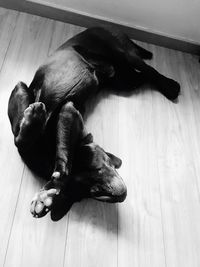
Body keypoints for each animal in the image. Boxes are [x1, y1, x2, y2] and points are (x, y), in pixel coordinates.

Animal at [7, 26, 180, 220]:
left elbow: (58, 153)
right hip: (124, 81)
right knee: (143, 75)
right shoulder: (33, 99)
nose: (121, 195)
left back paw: (170, 86)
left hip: (120, 53)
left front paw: (47, 194)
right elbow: (20, 139)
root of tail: (104, 26)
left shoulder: (68, 111)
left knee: (148, 69)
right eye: (95, 192)